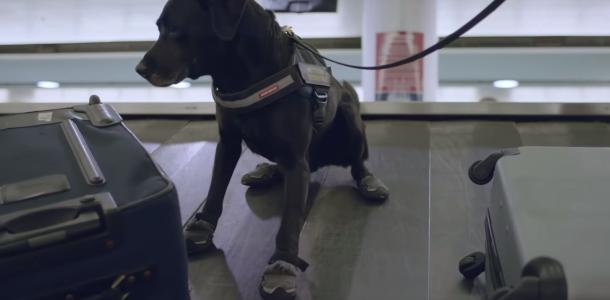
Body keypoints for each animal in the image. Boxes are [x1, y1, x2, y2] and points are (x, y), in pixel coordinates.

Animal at [135, 0, 388, 298]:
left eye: (174, 29)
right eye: (158, 28)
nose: (139, 69)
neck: (241, 75)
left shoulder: (295, 160)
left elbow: (290, 219)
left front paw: (281, 265)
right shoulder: (228, 143)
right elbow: (215, 189)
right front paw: (202, 227)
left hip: (349, 115)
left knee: (357, 160)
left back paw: (368, 181)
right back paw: (266, 172)